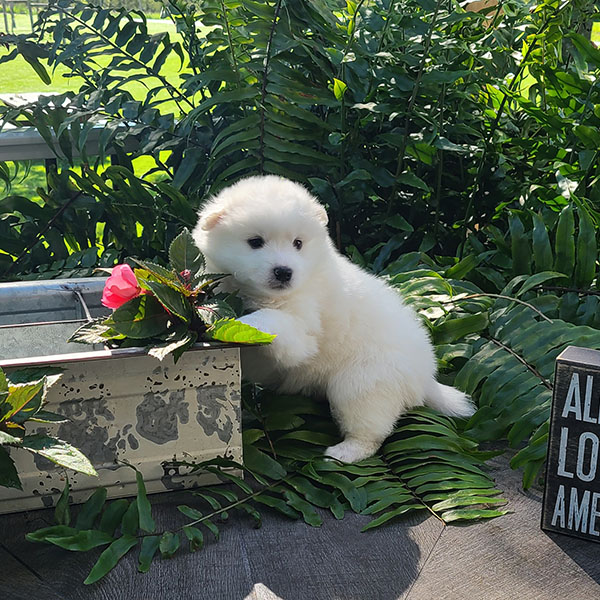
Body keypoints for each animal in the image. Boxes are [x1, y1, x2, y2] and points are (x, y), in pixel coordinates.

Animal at [192, 175, 474, 464]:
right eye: (255, 242)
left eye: (298, 243)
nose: (284, 272)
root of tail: (425, 377)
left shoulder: (302, 327)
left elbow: (273, 322)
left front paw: (247, 323)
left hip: (361, 383)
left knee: (371, 431)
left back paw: (344, 452)